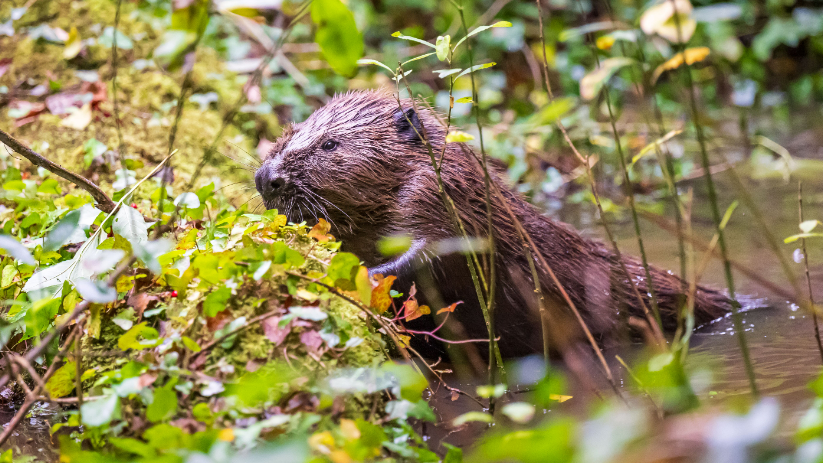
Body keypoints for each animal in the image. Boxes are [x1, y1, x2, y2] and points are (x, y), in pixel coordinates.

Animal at [254, 91, 732, 358]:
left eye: (330, 144)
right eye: (289, 131)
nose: (266, 177)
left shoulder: (440, 196)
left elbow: (427, 254)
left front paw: (342, 273)